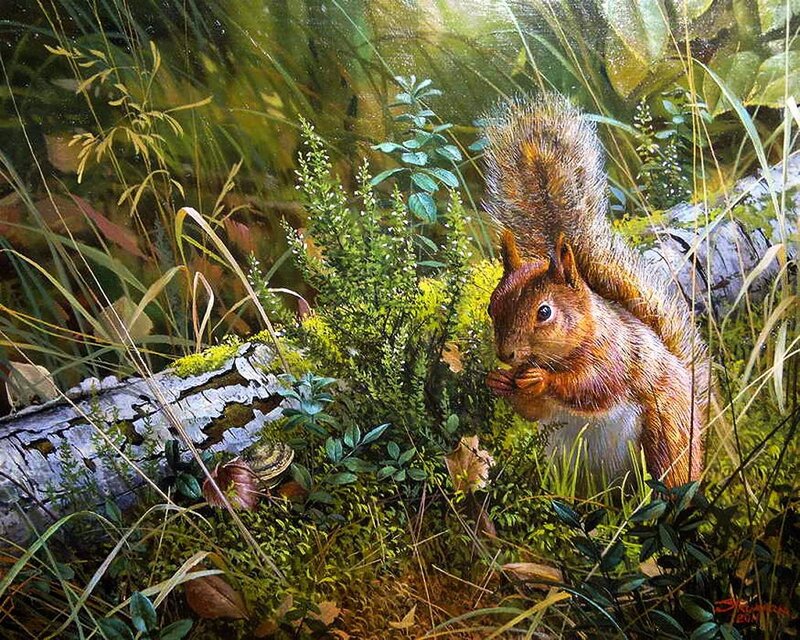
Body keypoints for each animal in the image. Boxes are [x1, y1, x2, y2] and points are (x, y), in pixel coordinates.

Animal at [482, 93, 711, 488]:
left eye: (545, 312)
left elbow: (591, 386)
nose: (506, 355)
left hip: (666, 437)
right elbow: (533, 410)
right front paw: (500, 381)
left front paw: (542, 379)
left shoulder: (616, 356)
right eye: (491, 307)